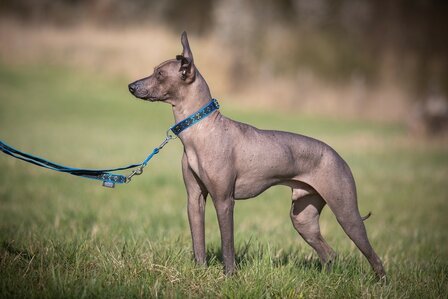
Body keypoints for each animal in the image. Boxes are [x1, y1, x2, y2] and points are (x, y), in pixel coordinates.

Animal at [128, 31, 386, 280]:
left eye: (160, 74)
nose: (131, 86)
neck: (203, 130)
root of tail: (338, 156)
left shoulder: (224, 201)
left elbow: (227, 245)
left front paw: (230, 277)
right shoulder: (194, 199)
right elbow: (198, 242)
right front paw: (200, 272)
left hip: (346, 214)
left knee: (374, 257)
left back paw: (381, 283)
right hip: (303, 218)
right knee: (329, 254)